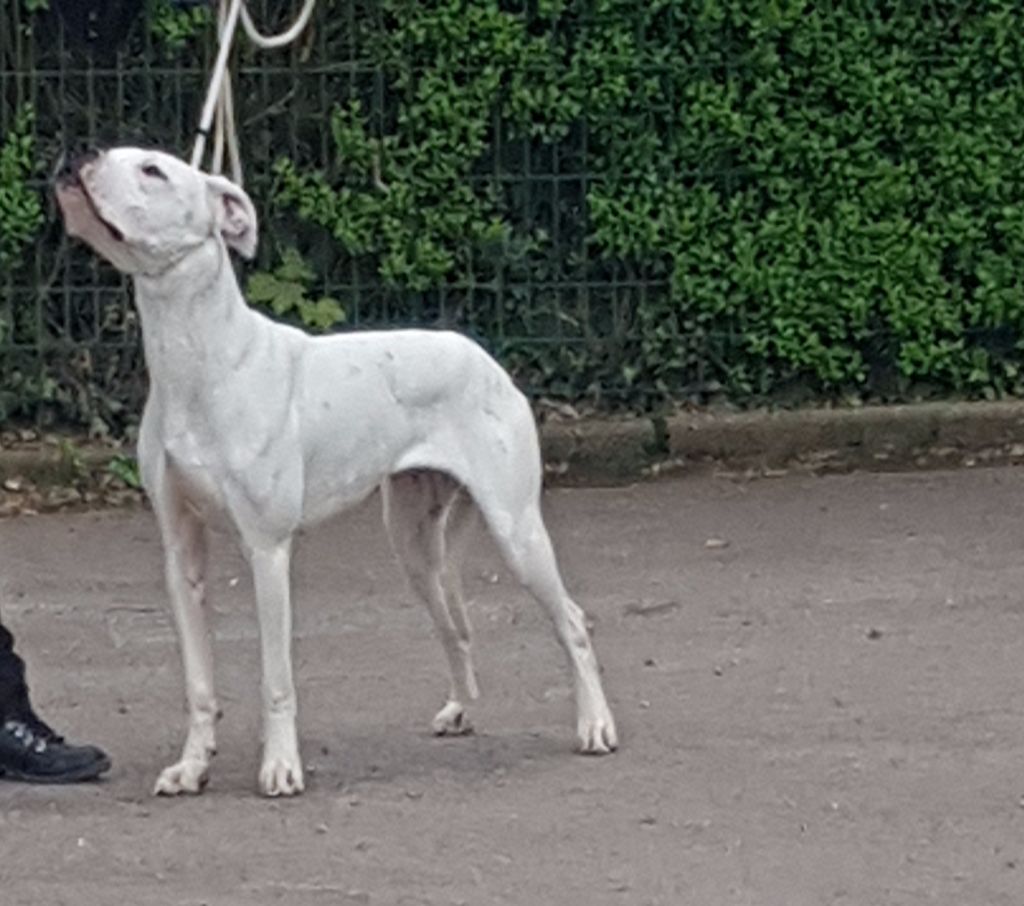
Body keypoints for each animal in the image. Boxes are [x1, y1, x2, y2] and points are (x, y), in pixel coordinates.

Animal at [56, 146, 614, 790]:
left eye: (153, 170)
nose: (77, 158)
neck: (201, 361)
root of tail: (486, 359)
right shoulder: (181, 557)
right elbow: (199, 682)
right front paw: (191, 767)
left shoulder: (267, 551)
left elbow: (276, 677)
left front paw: (280, 767)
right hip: (414, 546)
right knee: (453, 626)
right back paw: (460, 711)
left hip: (516, 528)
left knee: (572, 620)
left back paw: (596, 726)